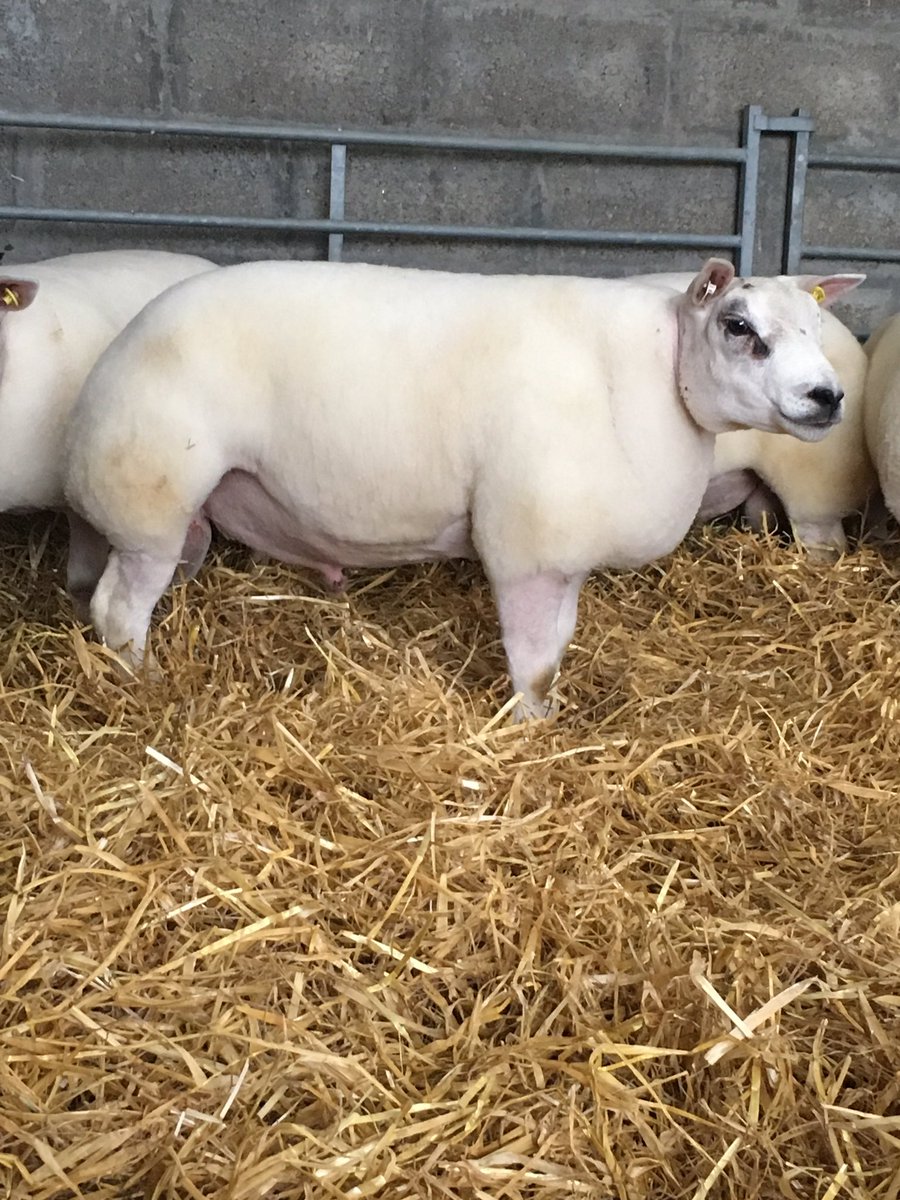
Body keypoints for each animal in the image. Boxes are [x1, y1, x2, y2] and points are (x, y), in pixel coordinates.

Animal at [64, 257, 860, 719]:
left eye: (816, 324)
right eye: (737, 325)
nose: (827, 397)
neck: (658, 380)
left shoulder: (562, 553)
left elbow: (556, 649)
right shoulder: (528, 545)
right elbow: (535, 663)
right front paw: (530, 730)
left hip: (180, 516)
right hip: (150, 497)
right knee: (117, 611)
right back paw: (142, 684)